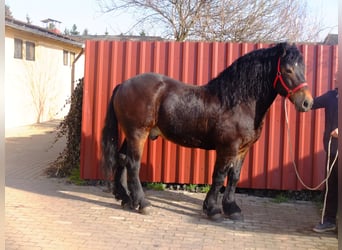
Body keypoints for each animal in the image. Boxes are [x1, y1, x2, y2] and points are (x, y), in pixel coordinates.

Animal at [101, 42, 312, 220]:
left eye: (303, 69)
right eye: (288, 70)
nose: (307, 102)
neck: (238, 102)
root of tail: (123, 84)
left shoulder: (242, 149)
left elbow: (234, 177)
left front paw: (232, 209)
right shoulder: (227, 148)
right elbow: (219, 176)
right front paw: (212, 209)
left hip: (131, 134)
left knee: (122, 159)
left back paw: (126, 199)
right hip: (138, 133)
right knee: (133, 164)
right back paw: (143, 203)